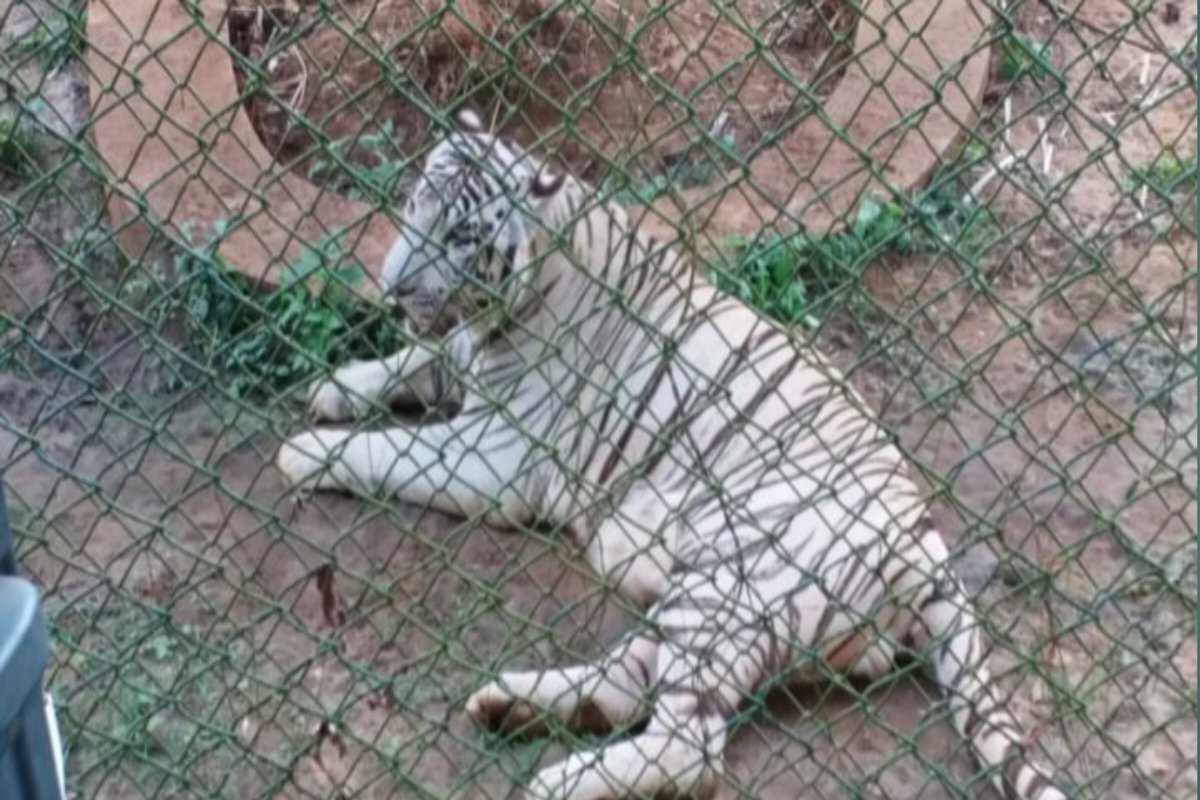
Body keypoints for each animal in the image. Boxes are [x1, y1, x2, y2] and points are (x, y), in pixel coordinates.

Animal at [275, 109, 1066, 800]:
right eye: (415, 203)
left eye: (462, 236)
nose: (392, 288)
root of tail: (925, 543)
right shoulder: (457, 359)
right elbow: (409, 361)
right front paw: (332, 387)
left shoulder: (494, 454)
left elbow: (390, 451)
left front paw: (301, 452)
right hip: (702, 596)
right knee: (637, 684)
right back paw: (509, 706)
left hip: (732, 577)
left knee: (690, 747)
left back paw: (555, 782)